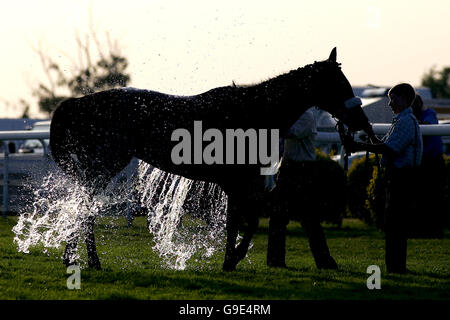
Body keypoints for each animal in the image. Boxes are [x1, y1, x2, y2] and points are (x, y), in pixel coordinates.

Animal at [50, 48, 376, 272]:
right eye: (337, 83)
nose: (362, 121)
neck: (253, 112)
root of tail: (78, 103)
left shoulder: (241, 184)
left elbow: (244, 221)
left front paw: (231, 259)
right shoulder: (237, 183)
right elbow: (242, 222)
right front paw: (231, 259)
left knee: (82, 208)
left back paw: (75, 258)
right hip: (103, 167)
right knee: (85, 209)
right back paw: (89, 260)